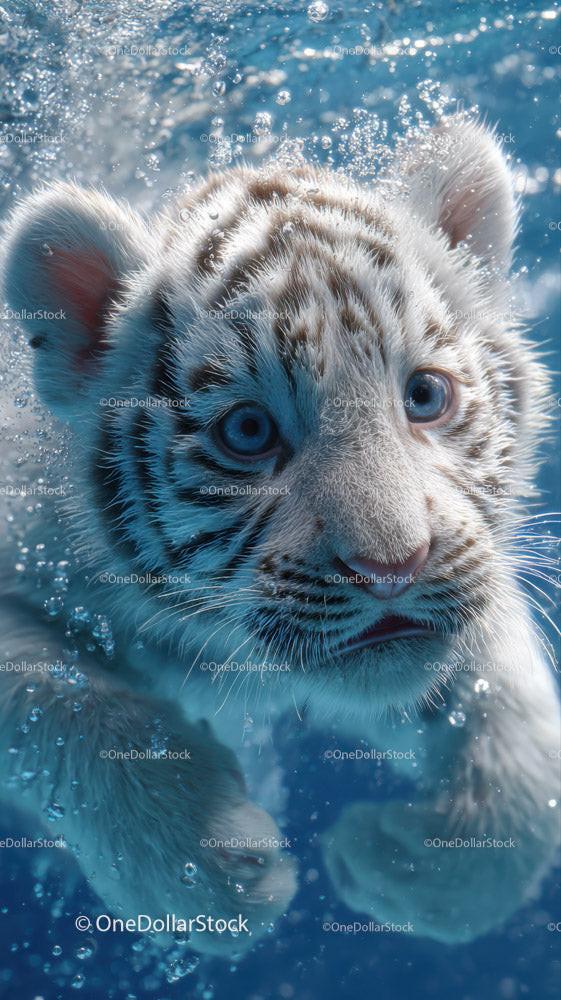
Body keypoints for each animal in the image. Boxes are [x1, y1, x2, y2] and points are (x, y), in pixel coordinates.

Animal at [0, 116, 559, 954]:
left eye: (425, 396)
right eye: (248, 432)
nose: (393, 567)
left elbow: (522, 735)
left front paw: (398, 860)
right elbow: (57, 699)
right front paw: (198, 866)